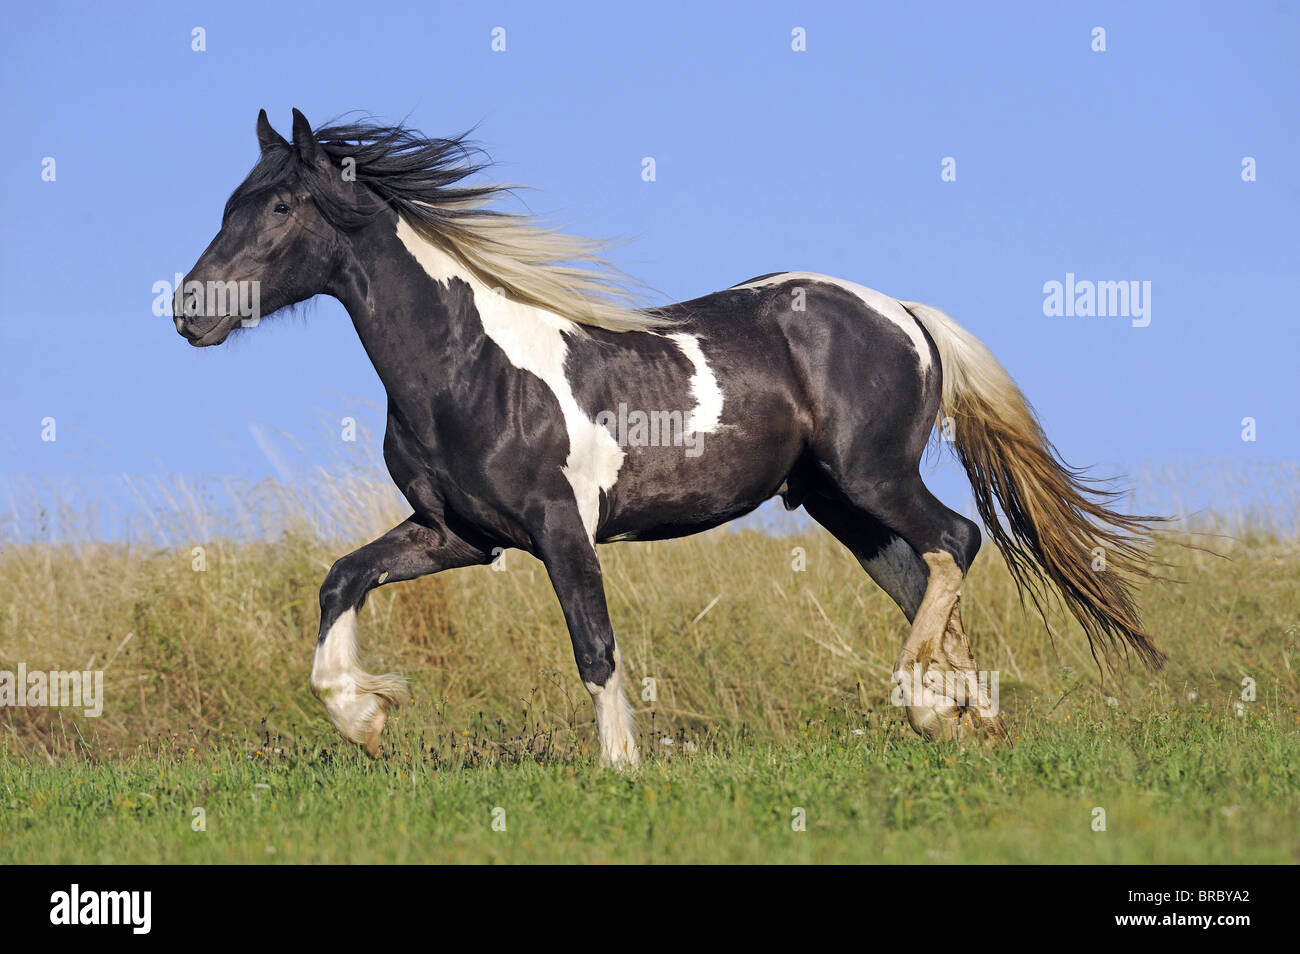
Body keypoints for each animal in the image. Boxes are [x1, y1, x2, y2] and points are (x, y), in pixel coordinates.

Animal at [172, 108, 1166, 765]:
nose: (189, 312)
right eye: (230, 203)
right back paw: (969, 719)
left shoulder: (560, 528)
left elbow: (595, 645)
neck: (472, 365)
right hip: (841, 504)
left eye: (281, 210)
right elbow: (342, 578)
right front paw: (364, 714)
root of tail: (902, 313)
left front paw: (620, 770)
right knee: (926, 572)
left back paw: (927, 707)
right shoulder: (455, 534)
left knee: (956, 541)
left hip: (874, 475)